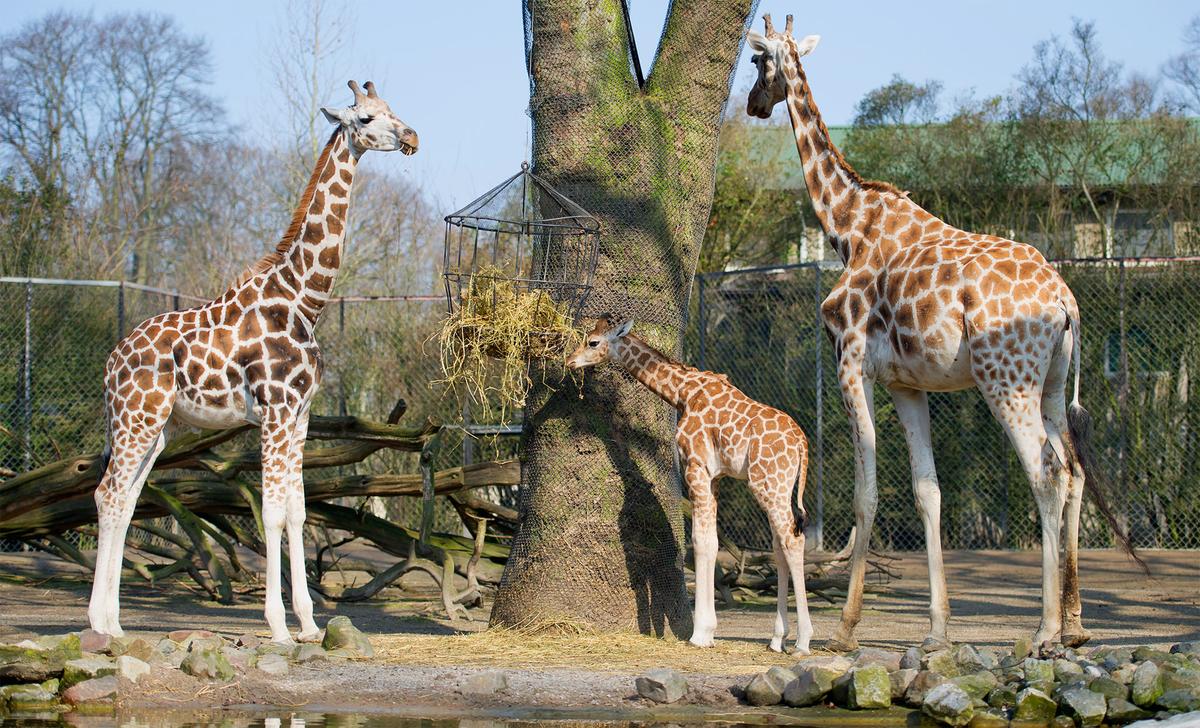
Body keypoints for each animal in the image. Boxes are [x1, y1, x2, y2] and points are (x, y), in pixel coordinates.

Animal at [88, 80, 418, 643]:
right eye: (368, 118)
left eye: (394, 109)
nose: (412, 136)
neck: (305, 300)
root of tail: (110, 363)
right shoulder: (275, 411)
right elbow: (271, 512)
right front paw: (279, 627)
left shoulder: (301, 415)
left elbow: (299, 512)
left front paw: (309, 624)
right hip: (138, 418)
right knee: (107, 495)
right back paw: (98, 623)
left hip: (156, 428)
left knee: (126, 501)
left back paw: (114, 623)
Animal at [566, 317, 813, 653]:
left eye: (592, 342)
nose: (570, 360)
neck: (682, 392)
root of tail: (802, 444)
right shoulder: (715, 477)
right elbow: (712, 541)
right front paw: (707, 631)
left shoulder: (695, 466)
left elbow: (699, 541)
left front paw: (701, 633)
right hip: (779, 487)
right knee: (779, 543)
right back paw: (777, 639)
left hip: (768, 483)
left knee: (792, 539)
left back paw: (803, 641)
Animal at [745, 14, 1140, 653]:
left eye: (757, 62)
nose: (755, 104)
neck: (846, 226)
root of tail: (1065, 300)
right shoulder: (908, 384)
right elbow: (927, 491)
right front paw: (936, 630)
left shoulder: (850, 362)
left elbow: (866, 492)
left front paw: (846, 629)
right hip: (1052, 382)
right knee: (1075, 468)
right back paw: (1077, 624)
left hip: (1005, 380)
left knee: (1046, 472)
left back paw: (1044, 628)